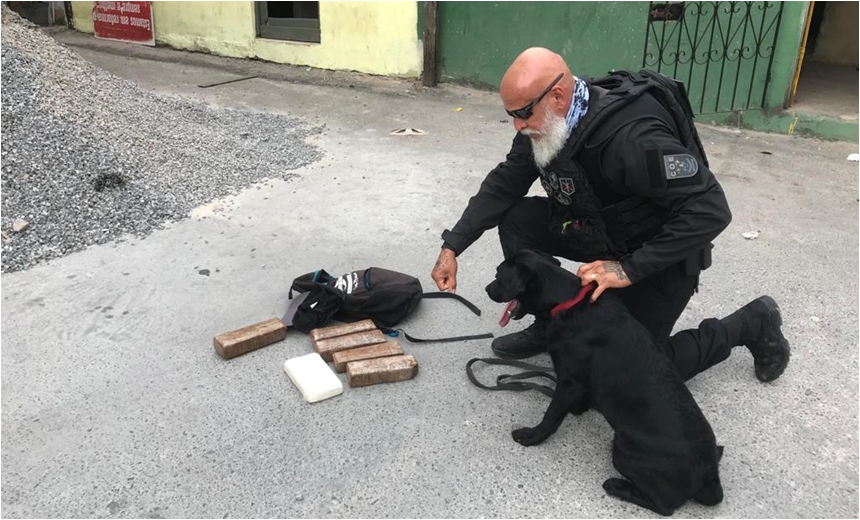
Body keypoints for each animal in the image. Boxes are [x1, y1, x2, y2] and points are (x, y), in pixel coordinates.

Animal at [488, 251, 724, 516]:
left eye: (498, 275)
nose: (487, 289)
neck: (568, 300)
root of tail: (709, 475)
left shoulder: (570, 382)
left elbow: (551, 416)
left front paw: (532, 436)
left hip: (622, 452)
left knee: (664, 506)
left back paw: (617, 486)